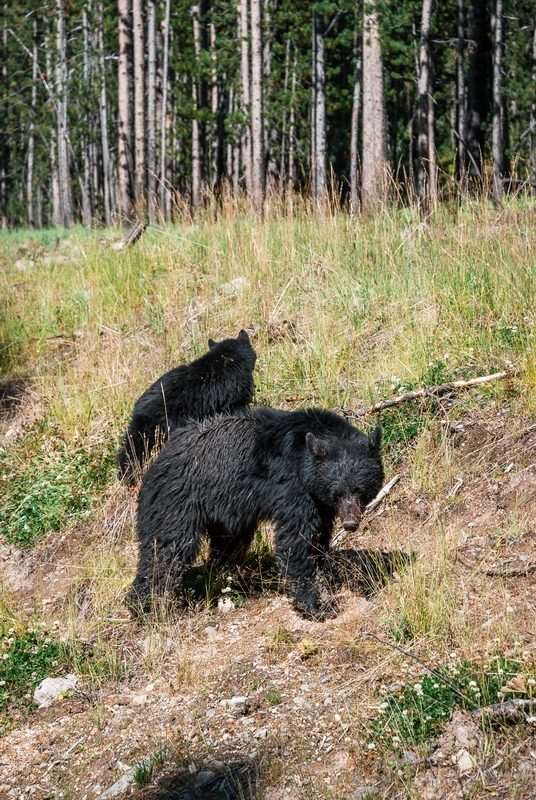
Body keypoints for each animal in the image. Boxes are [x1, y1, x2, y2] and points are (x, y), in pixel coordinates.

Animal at [127, 410, 384, 620]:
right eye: (337, 492)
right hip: (176, 501)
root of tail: (156, 461)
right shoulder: (292, 489)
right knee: (166, 550)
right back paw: (146, 606)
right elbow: (296, 541)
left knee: (228, 544)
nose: (350, 523)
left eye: (359, 489)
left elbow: (318, 537)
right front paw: (318, 605)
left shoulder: (319, 503)